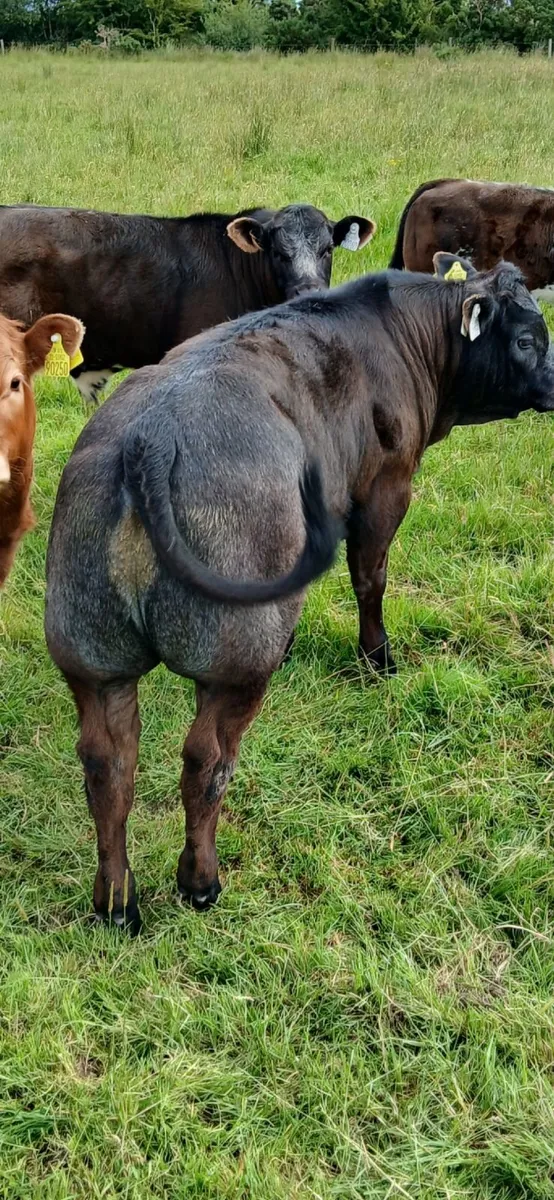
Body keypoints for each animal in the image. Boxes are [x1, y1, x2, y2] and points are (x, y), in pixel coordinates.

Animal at [45, 254, 554, 933]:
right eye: (526, 340)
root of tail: (147, 437)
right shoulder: (385, 485)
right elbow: (371, 577)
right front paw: (378, 658)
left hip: (93, 657)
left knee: (108, 766)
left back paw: (117, 902)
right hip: (234, 659)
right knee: (206, 759)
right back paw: (200, 882)